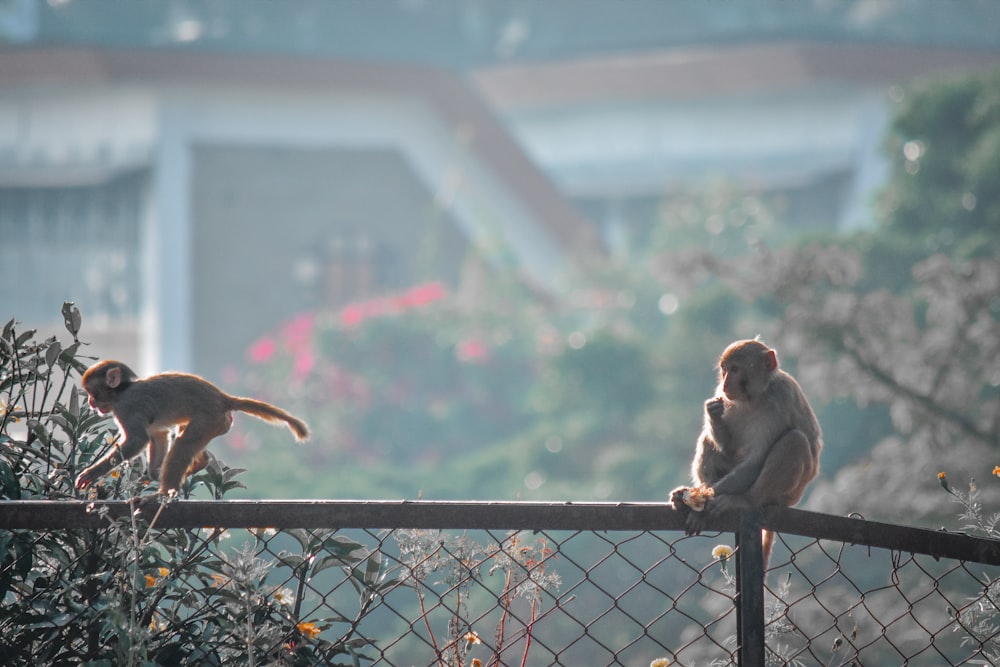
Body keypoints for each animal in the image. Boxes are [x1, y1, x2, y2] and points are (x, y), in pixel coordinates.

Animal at [76, 360, 308, 496]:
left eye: (92, 393)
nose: (91, 403)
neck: (123, 391)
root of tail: (223, 398)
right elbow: (158, 434)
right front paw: (153, 472)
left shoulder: (126, 408)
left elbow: (138, 440)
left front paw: (91, 473)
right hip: (220, 423)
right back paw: (199, 463)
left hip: (210, 418)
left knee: (183, 443)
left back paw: (165, 493)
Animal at [672, 342, 820, 568]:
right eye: (724, 369)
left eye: (735, 369)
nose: (725, 383)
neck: (754, 397)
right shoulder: (725, 399)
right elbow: (726, 447)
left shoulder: (781, 398)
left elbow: (755, 460)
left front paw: (704, 504)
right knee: (708, 439)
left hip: (789, 495)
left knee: (795, 441)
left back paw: (746, 501)